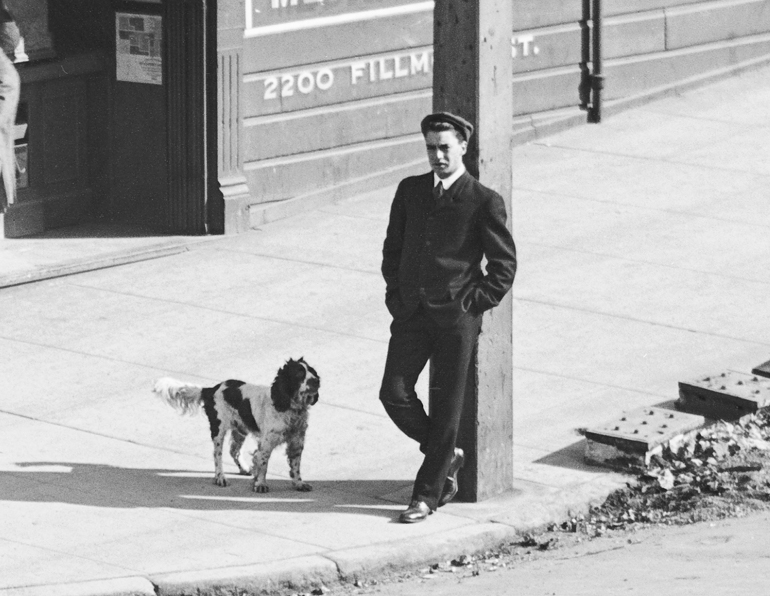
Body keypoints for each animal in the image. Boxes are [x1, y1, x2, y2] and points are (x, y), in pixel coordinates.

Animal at [152, 358, 320, 494]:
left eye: (311, 370)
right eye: (299, 374)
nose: (317, 380)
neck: (290, 407)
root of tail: (211, 389)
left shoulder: (297, 441)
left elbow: (296, 466)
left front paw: (299, 483)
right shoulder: (266, 443)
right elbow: (263, 463)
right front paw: (260, 484)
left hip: (240, 429)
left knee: (234, 451)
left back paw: (244, 469)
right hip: (219, 429)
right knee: (217, 455)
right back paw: (220, 478)